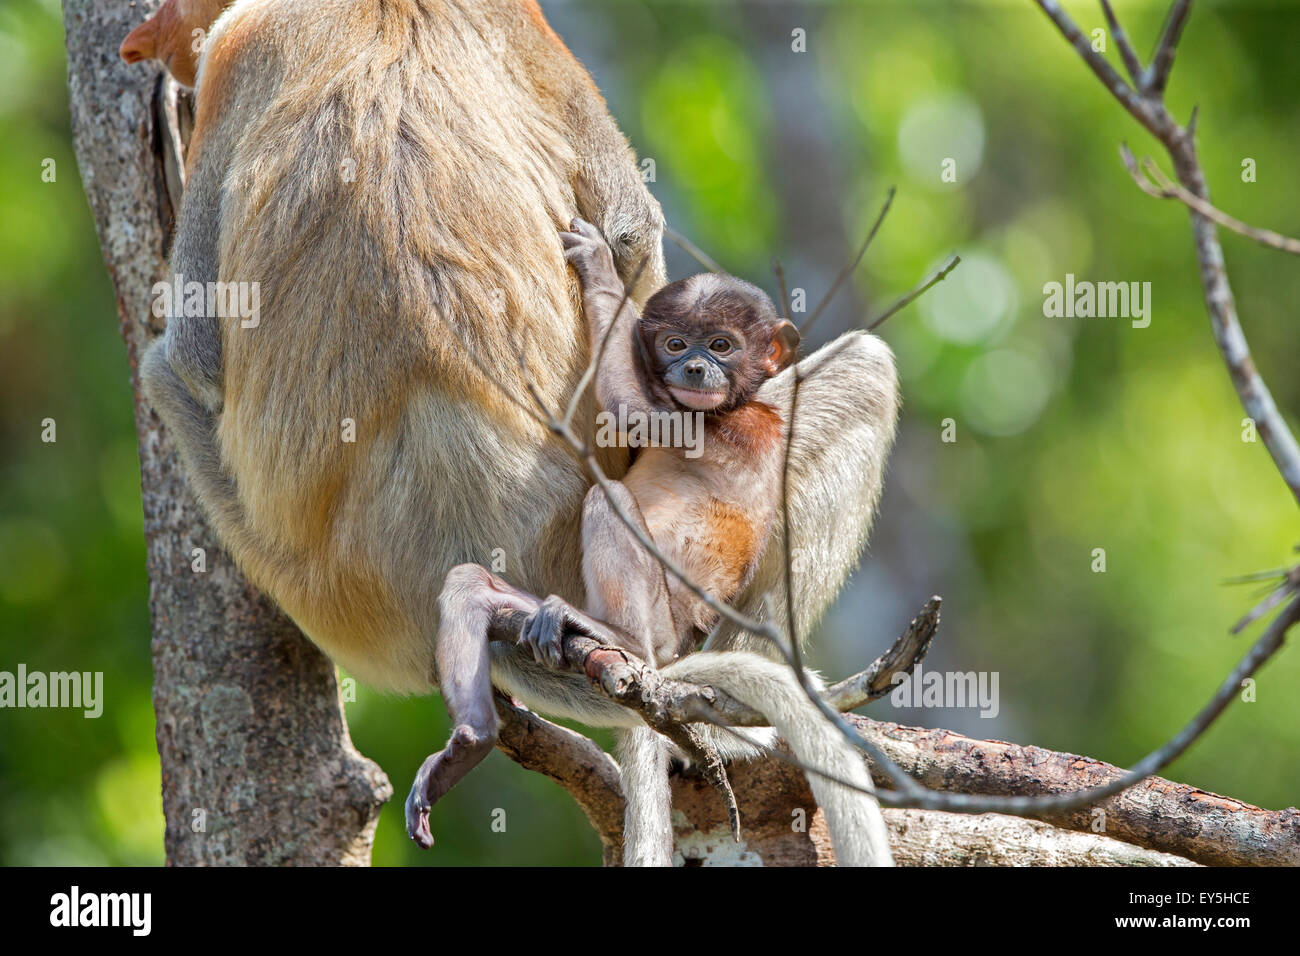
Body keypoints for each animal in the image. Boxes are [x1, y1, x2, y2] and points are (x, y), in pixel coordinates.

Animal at [420, 219, 894, 866]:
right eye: (675, 344)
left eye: (720, 345)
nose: (693, 368)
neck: (737, 404)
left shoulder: (719, 424)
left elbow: (627, 409)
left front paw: (599, 267)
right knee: (470, 585)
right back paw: (473, 735)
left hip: (666, 621)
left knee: (609, 502)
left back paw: (619, 640)